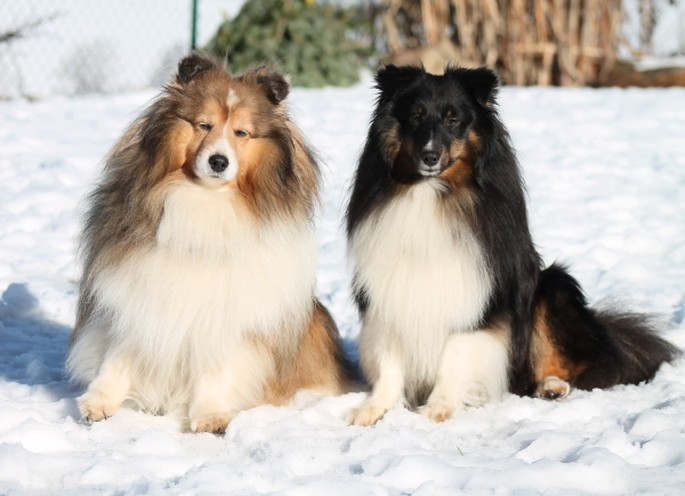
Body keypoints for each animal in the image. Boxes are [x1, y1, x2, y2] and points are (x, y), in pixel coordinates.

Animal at [67, 53, 350, 433]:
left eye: (242, 132)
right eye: (203, 124)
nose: (218, 161)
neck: (205, 199)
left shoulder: (227, 314)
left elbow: (215, 366)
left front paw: (210, 416)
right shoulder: (135, 289)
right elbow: (121, 349)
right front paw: (99, 402)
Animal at [345, 65, 678, 425]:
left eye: (453, 119)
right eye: (415, 117)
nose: (429, 156)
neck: (433, 193)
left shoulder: (478, 296)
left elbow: (454, 352)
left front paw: (438, 408)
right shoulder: (387, 292)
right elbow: (389, 360)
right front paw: (374, 409)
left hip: (553, 288)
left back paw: (553, 386)